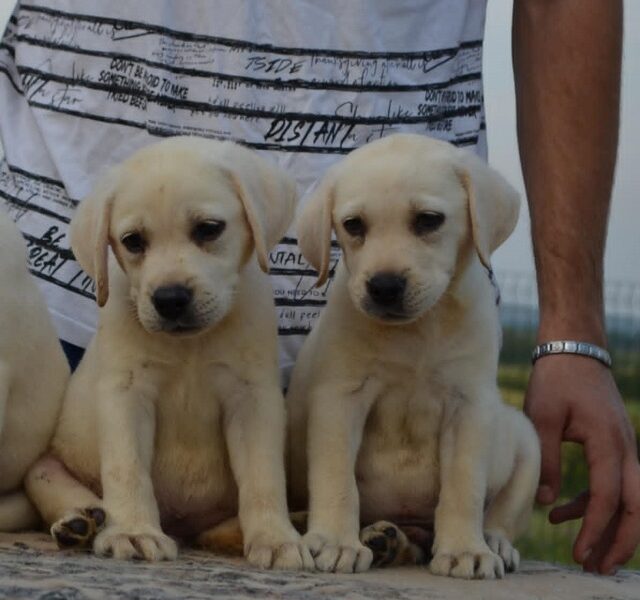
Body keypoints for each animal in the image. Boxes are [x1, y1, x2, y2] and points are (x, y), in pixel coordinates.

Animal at [25, 137, 316, 572]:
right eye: (133, 241)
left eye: (209, 229)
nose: (170, 299)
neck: (190, 346)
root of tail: (183, 527)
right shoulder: (126, 395)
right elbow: (127, 470)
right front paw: (133, 531)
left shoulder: (253, 399)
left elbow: (263, 478)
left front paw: (275, 538)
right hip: (43, 468)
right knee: (63, 491)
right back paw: (82, 522)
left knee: (219, 530)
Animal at [288, 134, 544, 580]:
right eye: (353, 225)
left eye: (428, 220)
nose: (384, 287)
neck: (416, 333)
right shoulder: (340, 399)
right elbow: (337, 479)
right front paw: (337, 541)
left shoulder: (469, 406)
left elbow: (463, 487)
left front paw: (464, 550)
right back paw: (380, 538)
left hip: (528, 442)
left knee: (501, 515)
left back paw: (490, 542)